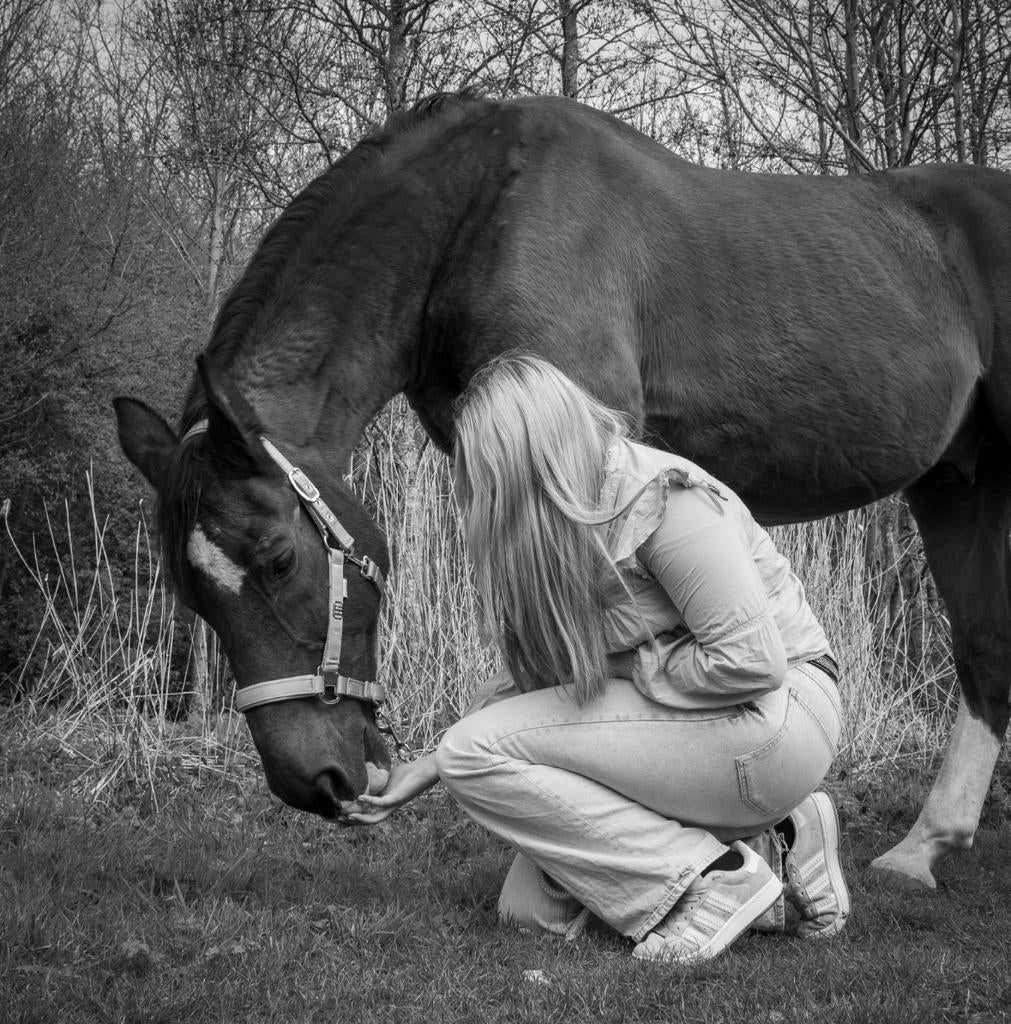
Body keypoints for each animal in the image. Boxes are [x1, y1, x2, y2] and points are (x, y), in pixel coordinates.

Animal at [114, 91, 1011, 892]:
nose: (314, 782)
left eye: (274, 559)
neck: (475, 220)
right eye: (191, 595)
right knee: (983, 649)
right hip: (957, 484)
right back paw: (922, 848)